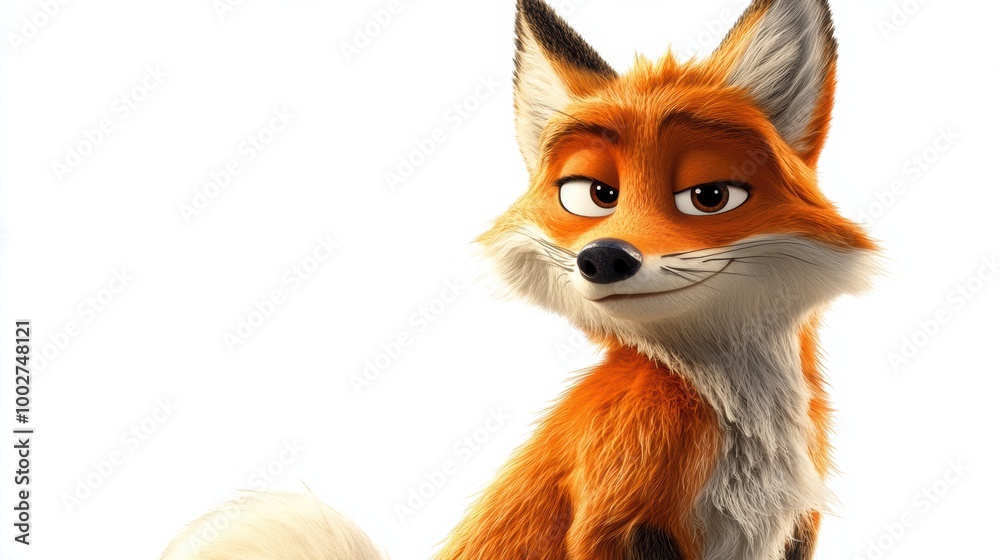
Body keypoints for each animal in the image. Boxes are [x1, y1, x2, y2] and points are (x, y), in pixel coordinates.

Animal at [161, 0, 877, 559]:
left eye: (710, 196)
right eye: (592, 195)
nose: (604, 258)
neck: (733, 415)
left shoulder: (796, 524)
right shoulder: (614, 509)